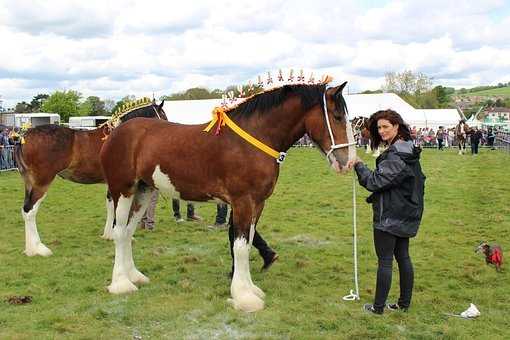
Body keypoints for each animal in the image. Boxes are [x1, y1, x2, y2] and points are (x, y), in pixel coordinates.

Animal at [14, 99, 167, 256]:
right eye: (162, 115)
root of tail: (24, 137)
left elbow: (110, 206)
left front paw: (109, 234)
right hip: (42, 182)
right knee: (30, 210)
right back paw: (38, 248)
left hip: (29, 182)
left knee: (25, 210)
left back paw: (30, 248)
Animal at [98, 81, 354, 312]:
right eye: (337, 116)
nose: (349, 162)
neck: (252, 139)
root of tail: (114, 133)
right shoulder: (242, 202)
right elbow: (239, 247)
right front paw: (244, 297)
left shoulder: (258, 204)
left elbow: (247, 244)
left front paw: (251, 289)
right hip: (123, 190)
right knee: (119, 233)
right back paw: (121, 284)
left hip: (143, 190)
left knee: (128, 231)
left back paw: (134, 276)